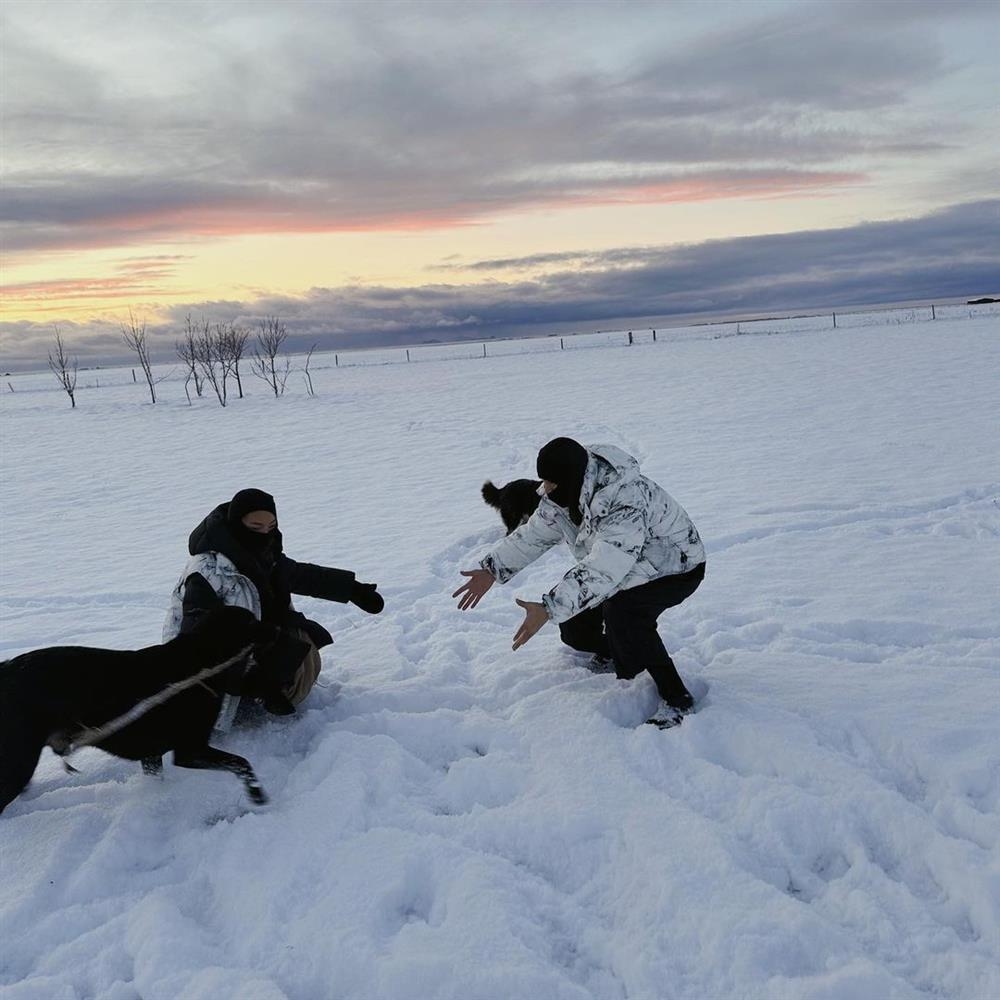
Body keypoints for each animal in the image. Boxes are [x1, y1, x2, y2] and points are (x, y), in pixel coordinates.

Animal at [0, 608, 296, 812]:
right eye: (252, 621)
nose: (278, 628)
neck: (198, 664)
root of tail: (6, 669)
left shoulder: (152, 756)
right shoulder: (190, 750)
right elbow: (242, 763)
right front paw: (257, 795)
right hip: (19, 762)